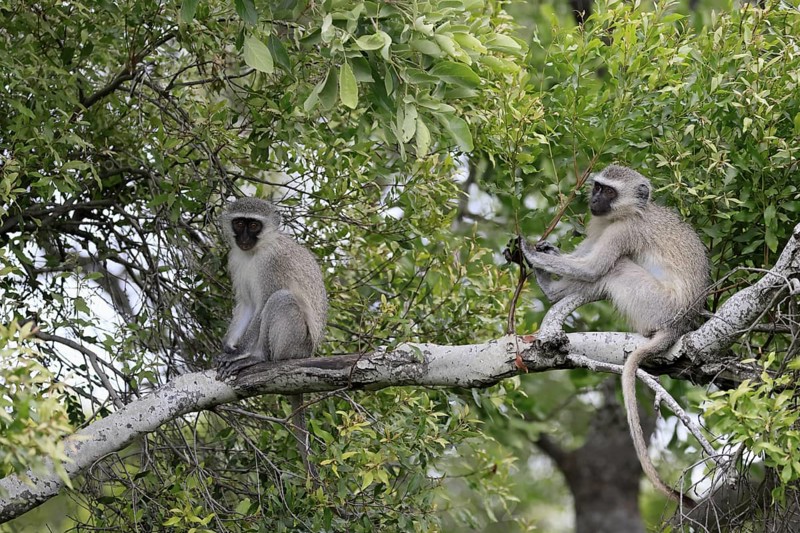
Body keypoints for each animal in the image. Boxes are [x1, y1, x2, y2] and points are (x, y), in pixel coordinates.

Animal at [216, 197, 328, 478]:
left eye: (254, 225)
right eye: (239, 223)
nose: (245, 237)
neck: (255, 252)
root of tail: (308, 354)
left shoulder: (273, 263)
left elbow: (263, 303)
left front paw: (240, 354)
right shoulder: (235, 259)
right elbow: (247, 304)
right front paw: (228, 348)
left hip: (296, 343)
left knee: (281, 299)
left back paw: (258, 358)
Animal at [507, 164, 708, 507]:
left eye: (610, 191)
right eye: (598, 187)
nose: (594, 200)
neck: (626, 213)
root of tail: (678, 325)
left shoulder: (624, 231)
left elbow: (592, 267)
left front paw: (529, 250)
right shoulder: (599, 225)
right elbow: (586, 260)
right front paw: (545, 252)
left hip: (654, 305)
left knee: (614, 268)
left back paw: (553, 291)